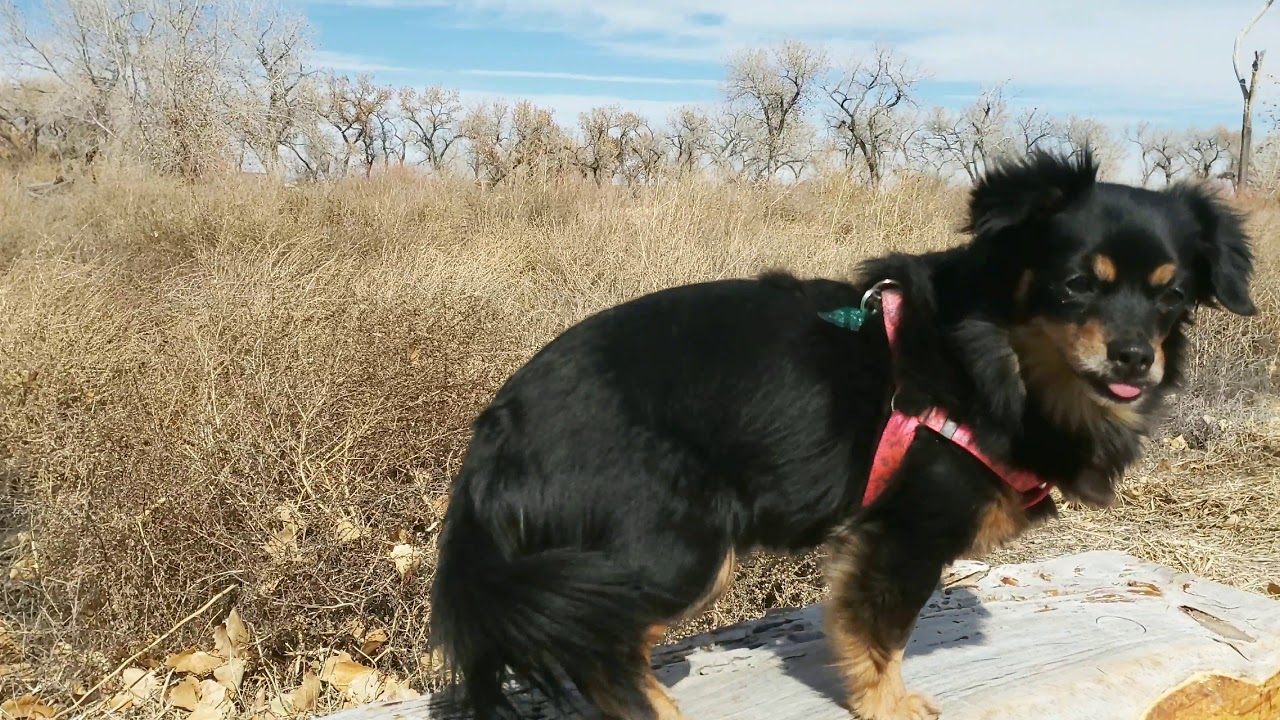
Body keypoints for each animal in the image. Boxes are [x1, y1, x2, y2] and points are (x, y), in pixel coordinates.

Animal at [424, 148, 1254, 712]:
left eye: (1173, 295)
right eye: (1077, 283)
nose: (1134, 357)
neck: (1003, 359)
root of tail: (497, 430)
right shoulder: (906, 531)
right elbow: (880, 635)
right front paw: (891, 705)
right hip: (674, 548)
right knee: (600, 646)